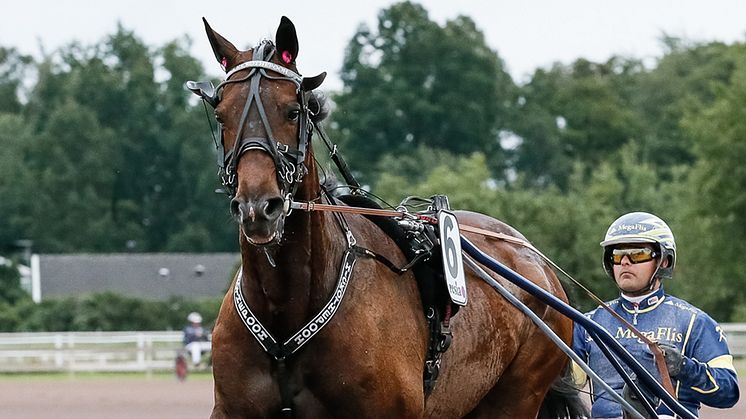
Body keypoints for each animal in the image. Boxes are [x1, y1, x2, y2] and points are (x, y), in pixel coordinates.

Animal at [196, 16, 580, 419]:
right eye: (221, 114)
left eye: (293, 110)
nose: (258, 207)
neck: (287, 312)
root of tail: (537, 262)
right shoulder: (233, 408)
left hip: (517, 395)